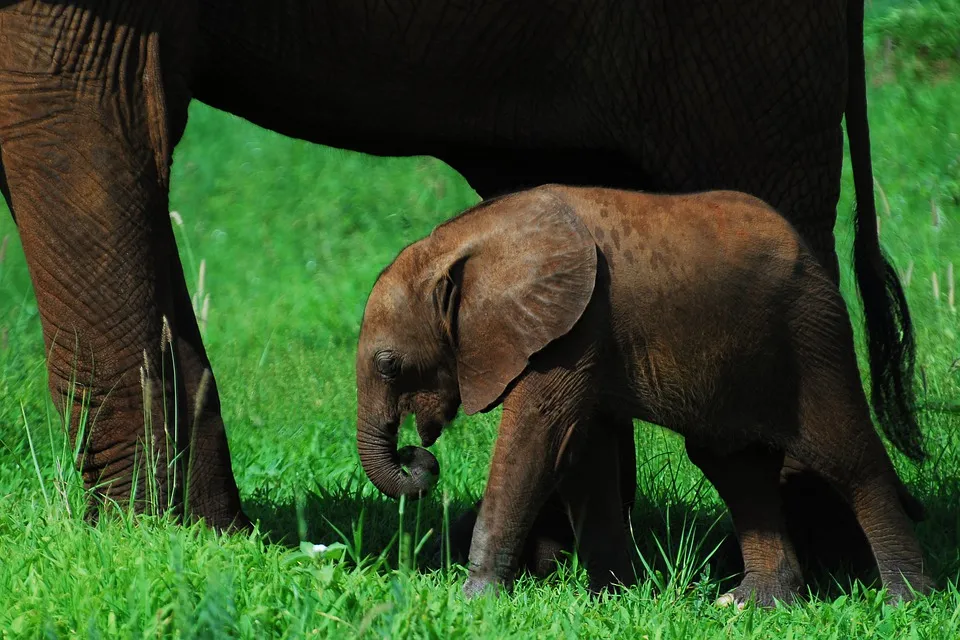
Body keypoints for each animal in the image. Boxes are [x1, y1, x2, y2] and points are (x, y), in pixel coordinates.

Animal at [0, 0, 920, 560]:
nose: (421, 454)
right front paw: (208, 543)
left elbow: (74, 119)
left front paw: (140, 544)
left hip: (739, 45)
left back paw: (828, 563)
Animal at [356, 184, 932, 604]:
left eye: (389, 365)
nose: (416, 456)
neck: (457, 243)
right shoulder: (580, 333)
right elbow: (581, 453)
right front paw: (613, 597)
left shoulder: (574, 327)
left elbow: (536, 441)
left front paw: (473, 600)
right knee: (737, 469)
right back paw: (752, 604)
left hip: (811, 335)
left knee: (847, 459)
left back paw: (906, 601)